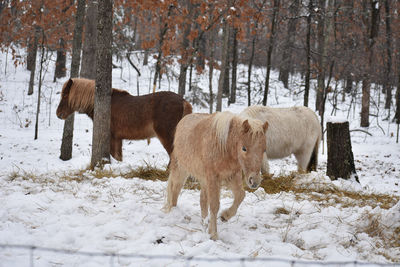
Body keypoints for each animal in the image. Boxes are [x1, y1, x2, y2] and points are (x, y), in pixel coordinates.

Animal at [56, 77, 192, 161]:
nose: (58, 114)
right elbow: (118, 157)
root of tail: (183, 101)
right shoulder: (118, 139)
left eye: (66, 95)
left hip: (167, 136)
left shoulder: (112, 137)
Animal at [162, 111, 268, 241]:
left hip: (203, 180)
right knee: (174, 189)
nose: (255, 181)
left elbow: (240, 195)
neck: (224, 146)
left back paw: (204, 223)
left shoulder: (232, 176)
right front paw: (214, 234)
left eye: (264, 150)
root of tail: (184, 119)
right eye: (244, 148)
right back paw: (172, 210)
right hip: (181, 170)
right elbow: (214, 205)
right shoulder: (213, 178)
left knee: (202, 199)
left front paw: (225, 216)